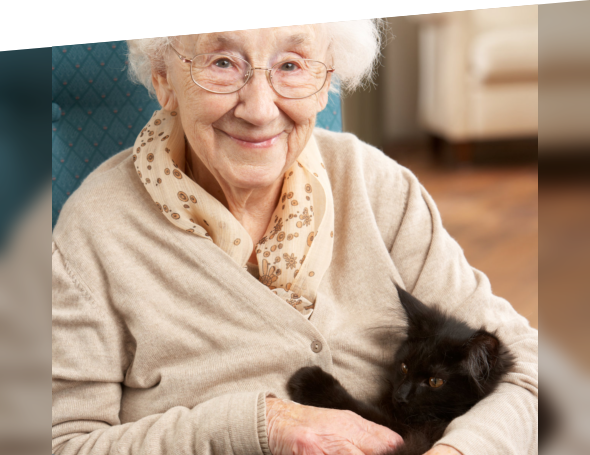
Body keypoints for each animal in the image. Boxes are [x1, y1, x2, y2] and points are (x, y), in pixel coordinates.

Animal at [290, 286, 516, 454]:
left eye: (435, 382)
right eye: (404, 367)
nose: (400, 396)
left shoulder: (410, 435)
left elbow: (361, 411)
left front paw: (311, 381)